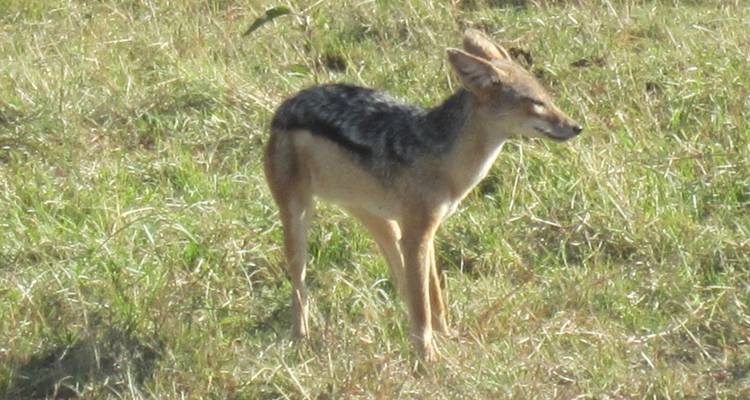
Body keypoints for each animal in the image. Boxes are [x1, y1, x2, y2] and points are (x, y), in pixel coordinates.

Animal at [263, 29, 582, 361]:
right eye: (536, 103)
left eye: (548, 98)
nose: (577, 127)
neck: (448, 163)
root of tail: (283, 107)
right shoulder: (417, 234)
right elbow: (423, 308)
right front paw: (427, 359)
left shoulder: (426, 232)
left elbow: (433, 299)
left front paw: (447, 339)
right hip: (299, 224)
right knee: (299, 286)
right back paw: (301, 338)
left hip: (384, 225)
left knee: (402, 284)